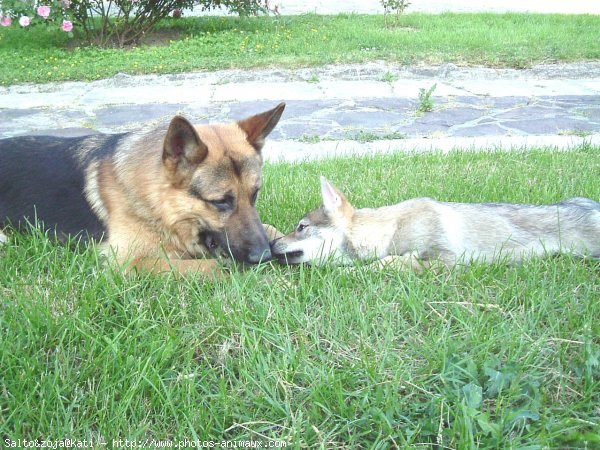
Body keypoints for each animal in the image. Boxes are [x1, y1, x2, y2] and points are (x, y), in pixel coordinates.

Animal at [0, 103, 288, 276]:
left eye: (255, 194)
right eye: (220, 202)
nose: (264, 256)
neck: (156, 200)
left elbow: (271, 228)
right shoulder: (129, 262)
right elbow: (217, 267)